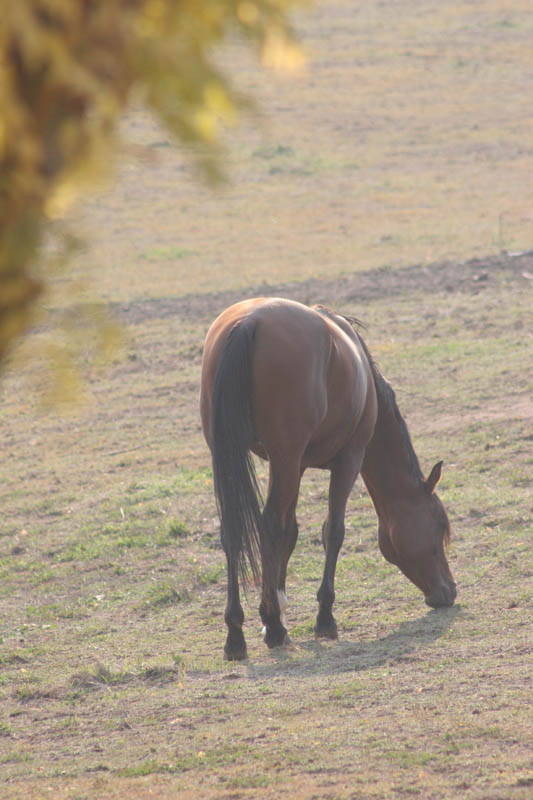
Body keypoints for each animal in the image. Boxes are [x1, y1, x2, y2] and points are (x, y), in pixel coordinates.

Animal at [197, 296, 456, 660]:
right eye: (439, 527)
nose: (449, 591)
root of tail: (249, 322)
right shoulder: (348, 458)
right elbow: (332, 531)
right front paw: (322, 617)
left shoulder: (295, 466)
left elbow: (290, 532)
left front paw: (277, 605)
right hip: (287, 457)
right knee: (268, 524)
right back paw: (273, 627)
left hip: (240, 455)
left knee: (234, 531)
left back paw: (236, 633)